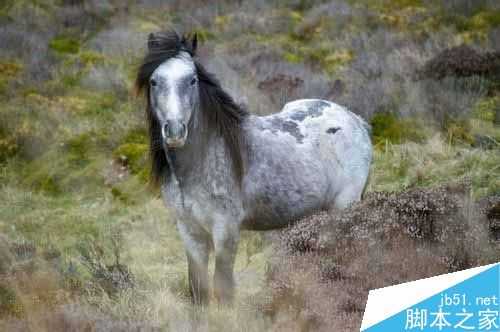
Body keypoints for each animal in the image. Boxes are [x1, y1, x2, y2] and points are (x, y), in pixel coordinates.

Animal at [136, 31, 372, 306]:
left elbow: (224, 288)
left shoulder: (226, 230)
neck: (201, 161)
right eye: (154, 81)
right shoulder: (189, 231)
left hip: (344, 205)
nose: (175, 131)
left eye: (192, 80)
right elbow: (198, 289)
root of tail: (355, 120)